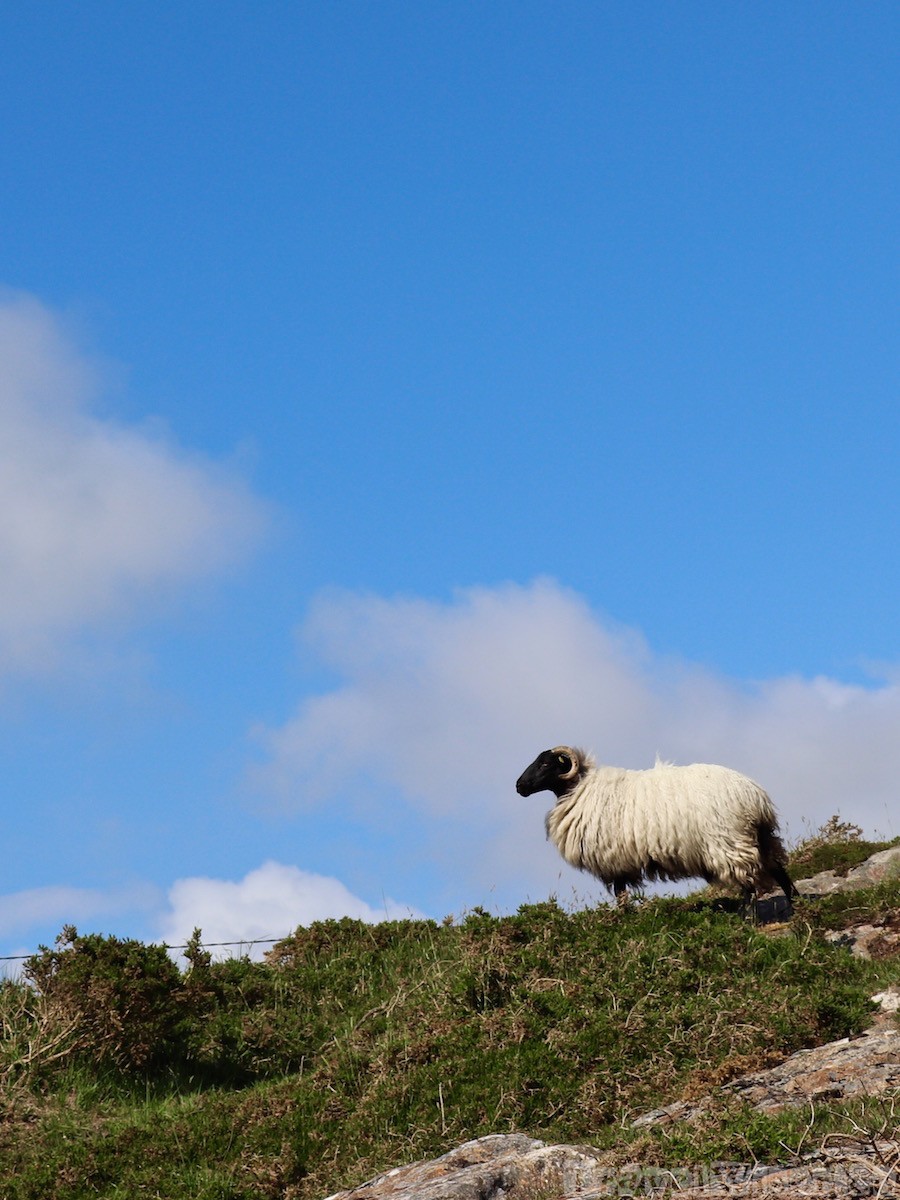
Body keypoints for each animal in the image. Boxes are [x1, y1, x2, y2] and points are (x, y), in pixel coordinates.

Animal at [516, 746, 798, 914]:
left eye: (545, 764)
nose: (519, 786)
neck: (579, 789)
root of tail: (756, 797)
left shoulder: (615, 858)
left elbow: (620, 893)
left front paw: (623, 919)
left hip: (730, 843)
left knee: (749, 884)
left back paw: (746, 919)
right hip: (760, 837)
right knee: (778, 870)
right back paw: (797, 905)